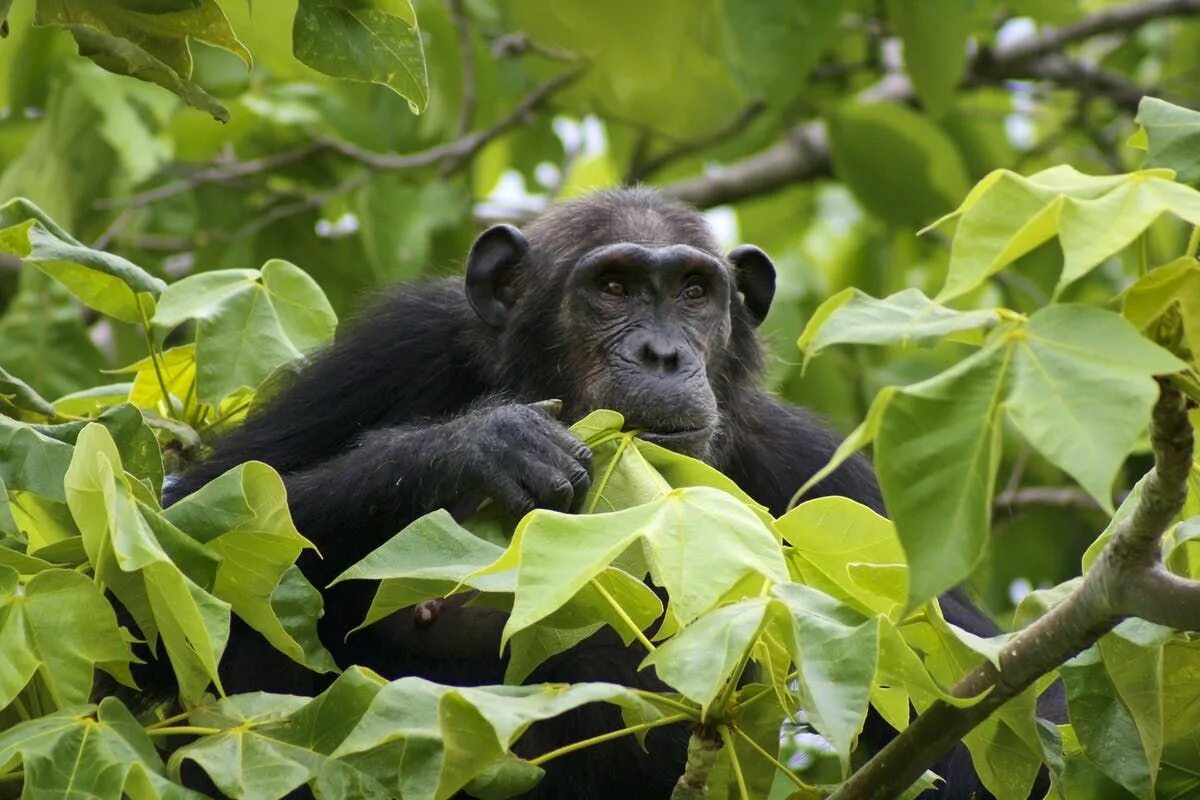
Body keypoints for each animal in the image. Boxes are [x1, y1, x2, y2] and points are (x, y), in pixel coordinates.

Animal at [166, 189, 1051, 800]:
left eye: (694, 291)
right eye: (615, 286)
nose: (663, 353)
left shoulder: (822, 479)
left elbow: (995, 718)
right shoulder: (394, 347)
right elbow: (201, 520)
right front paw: (484, 445)